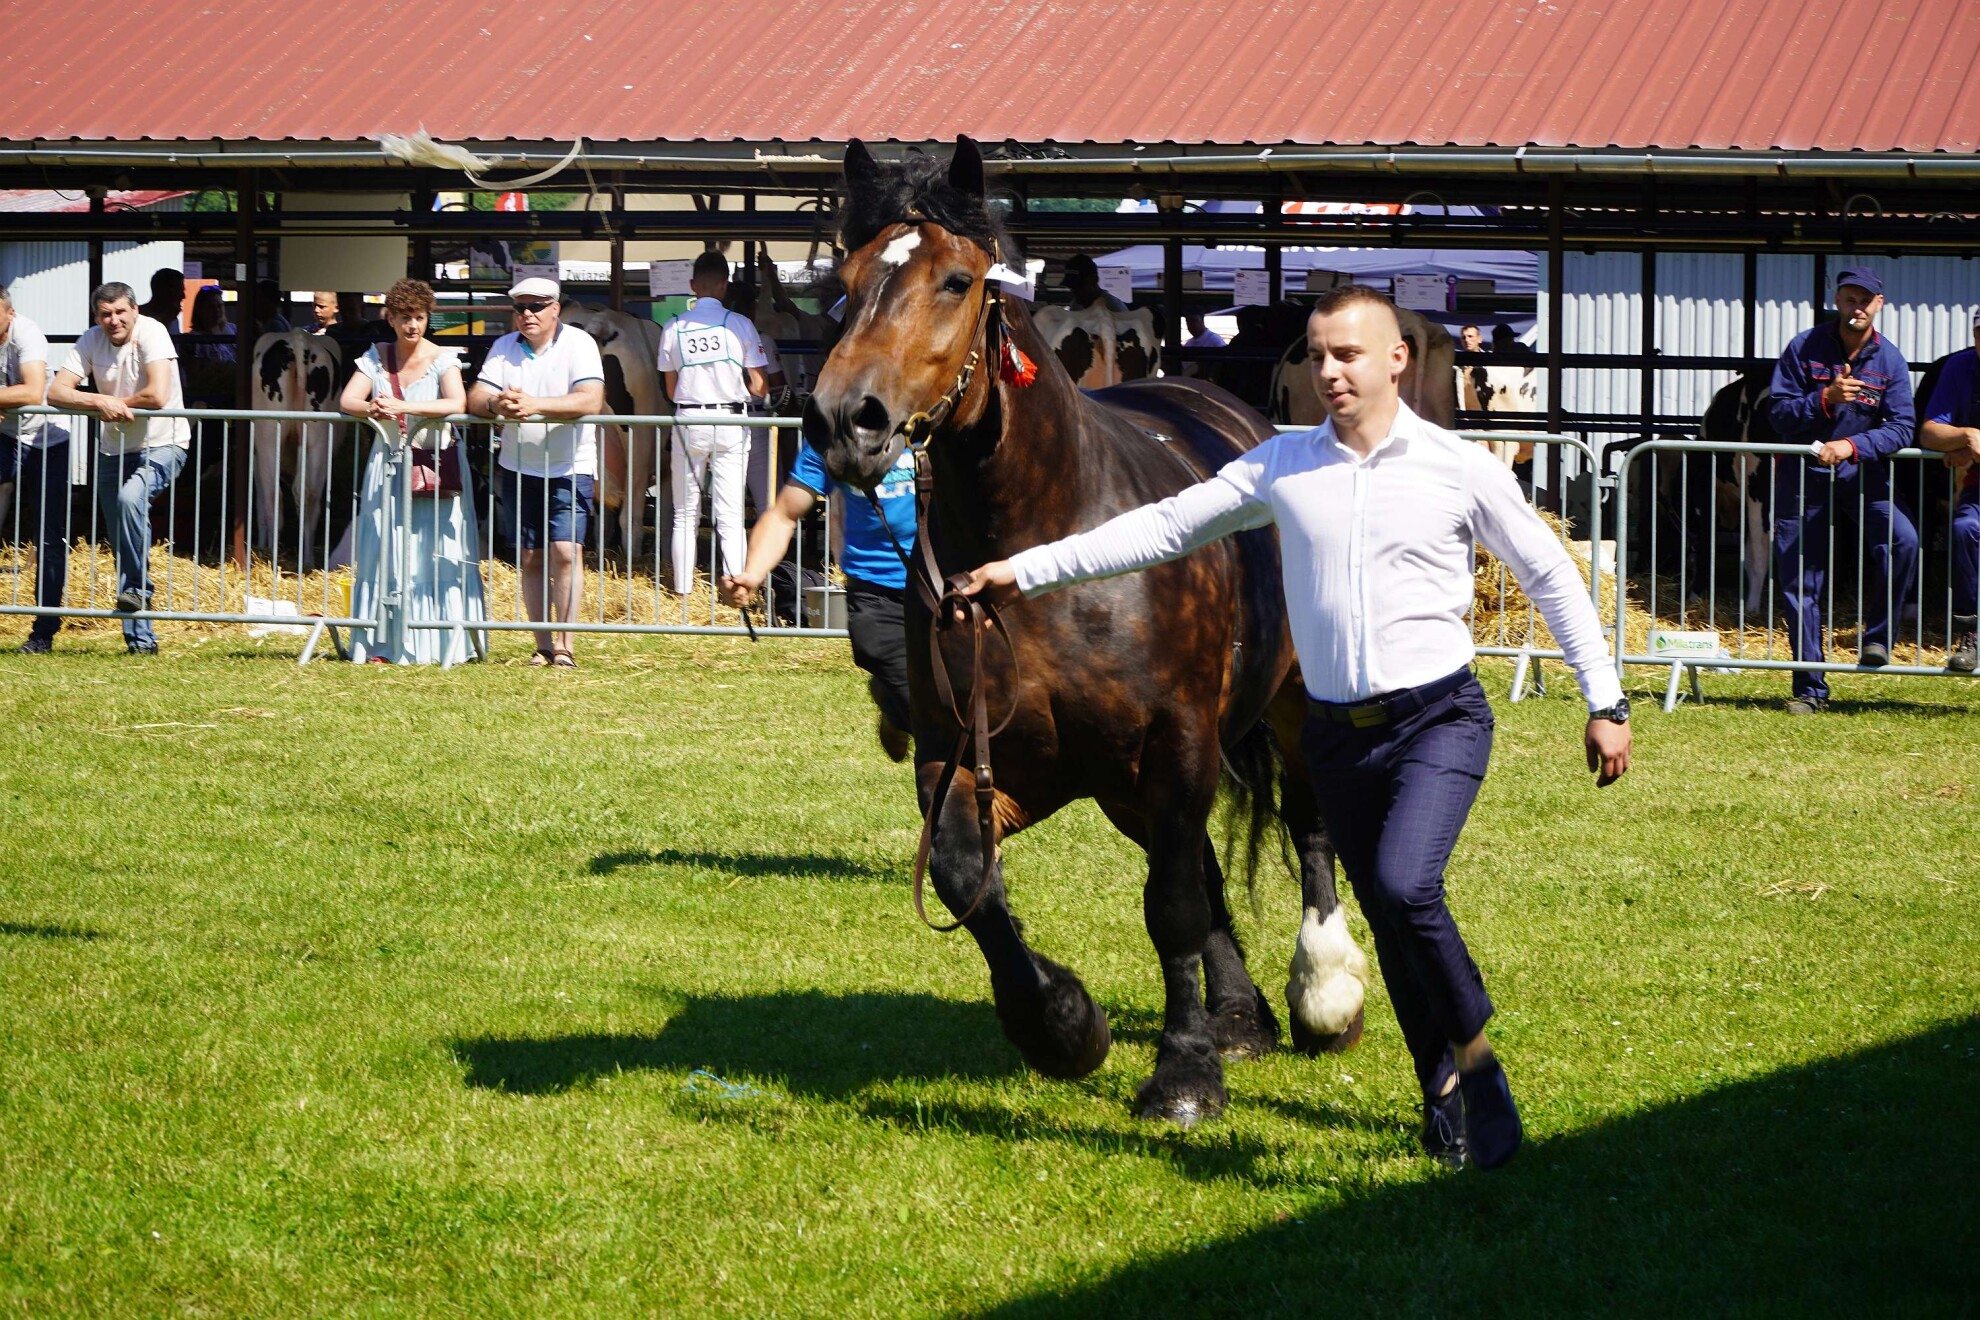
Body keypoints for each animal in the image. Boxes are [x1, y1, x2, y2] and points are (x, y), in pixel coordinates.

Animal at [802, 137, 1370, 1127]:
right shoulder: (966, 758)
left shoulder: (1175, 743)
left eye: (956, 281)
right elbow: (967, 880)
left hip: (1286, 710)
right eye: (845, 278)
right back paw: (1238, 1013)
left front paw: (1184, 1074)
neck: (1043, 555)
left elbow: (1172, 906)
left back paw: (1322, 995)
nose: (845, 419)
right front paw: (1063, 1024)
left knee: (1305, 827)